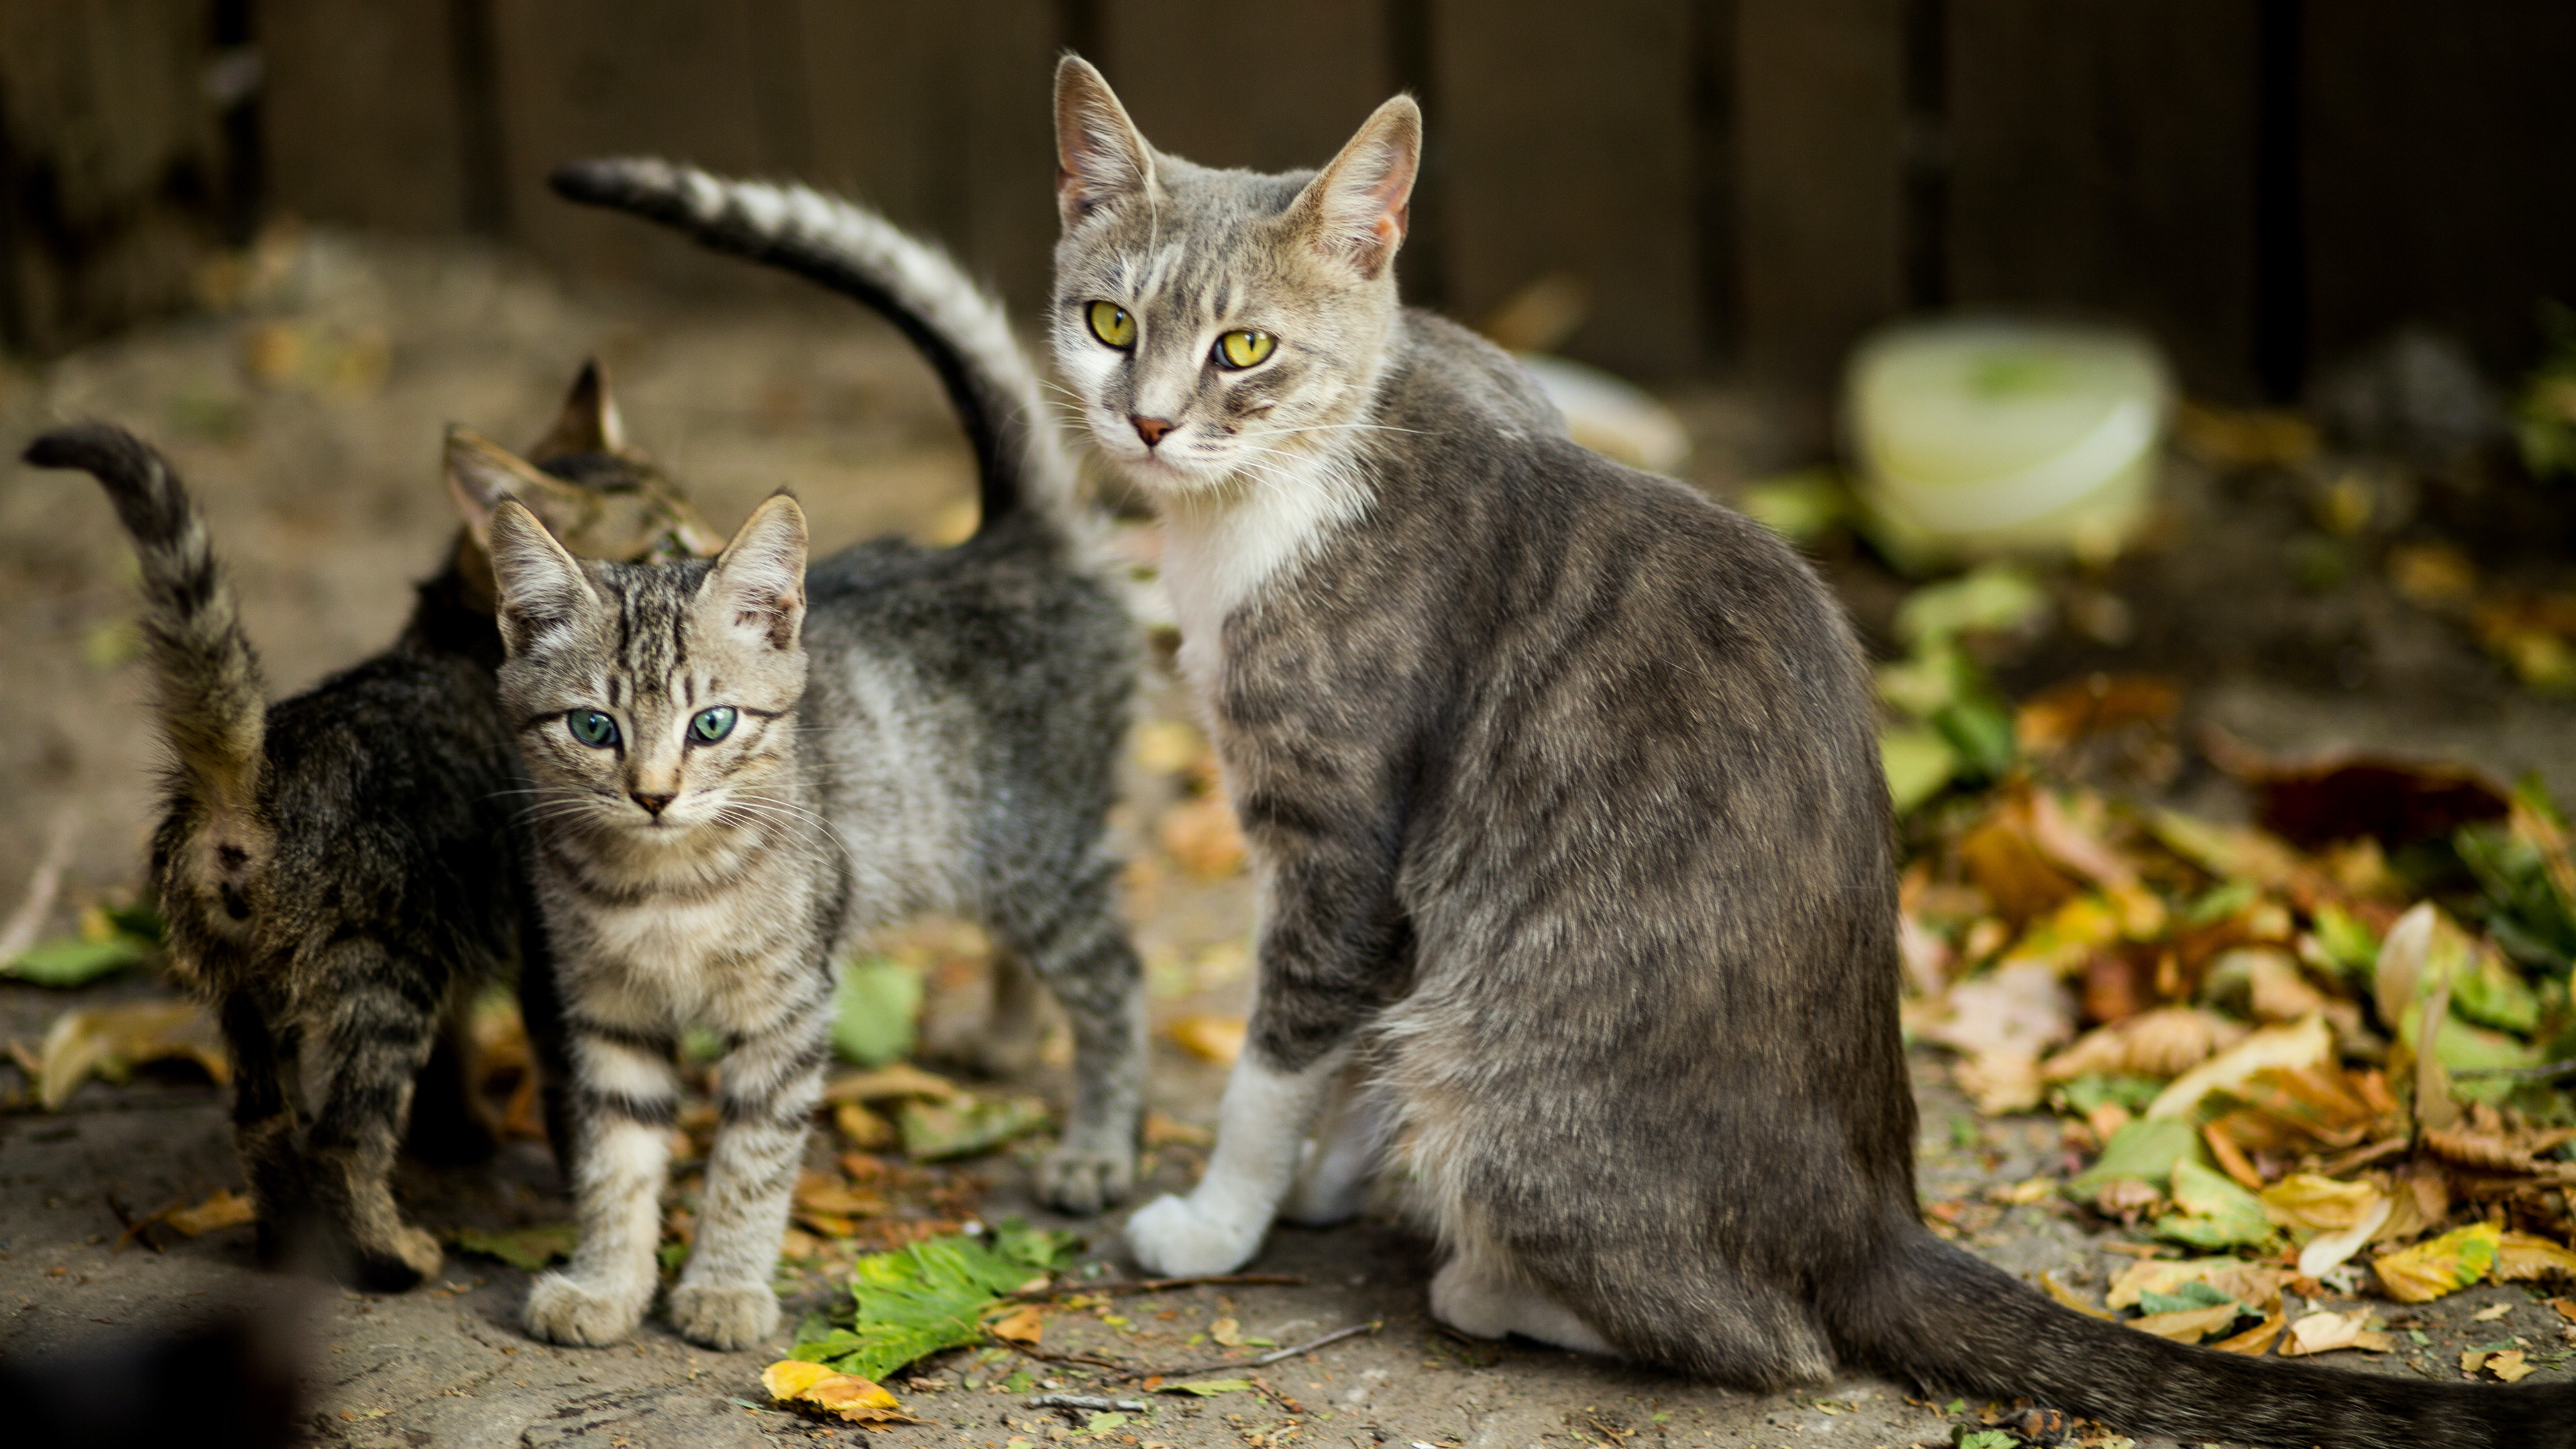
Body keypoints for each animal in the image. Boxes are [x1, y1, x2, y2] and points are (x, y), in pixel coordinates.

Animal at [25, 363, 721, 1284]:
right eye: (669, 541)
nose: (721, 544)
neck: (459, 637)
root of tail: (253, 773)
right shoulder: (549, 953)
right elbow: (579, 1101)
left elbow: (459, 1055)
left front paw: (460, 1133)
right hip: (384, 976)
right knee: (343, 1137)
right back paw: (391, 1257)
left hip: (248, 992)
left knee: (265, 1122)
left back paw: (285, 1250)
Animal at [1046, 56, 2576, 1444]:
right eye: (1109, 321)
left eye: (1246, 350)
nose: (1148, 421)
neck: (1289, 483)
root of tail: (1870, 1220)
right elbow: (1362, 1028)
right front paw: (1328, 1173)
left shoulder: (1343, 828)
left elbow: (1285, 1046)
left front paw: (1222, 1218)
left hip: (1519, 1098)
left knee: (1768, 1340)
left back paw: (1488, 1281)